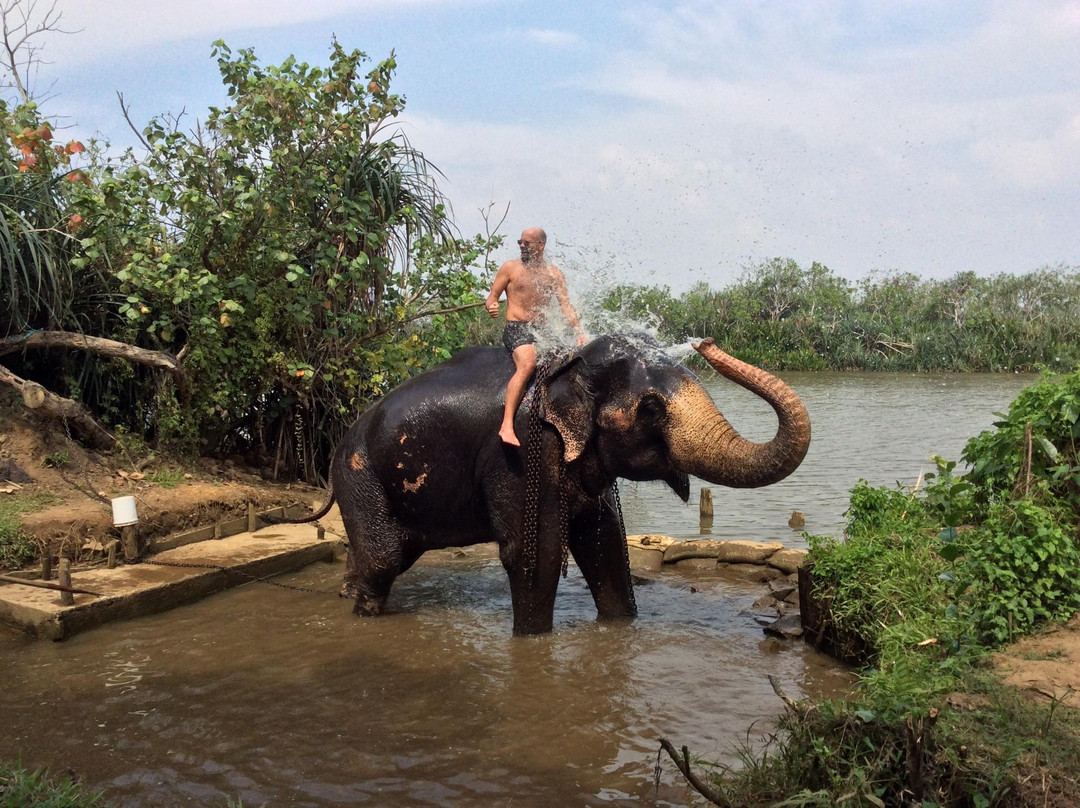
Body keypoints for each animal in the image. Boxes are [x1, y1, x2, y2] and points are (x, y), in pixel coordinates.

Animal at [278, 334, 810, 635]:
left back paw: (346, 595)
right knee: (385, 559)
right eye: (651, 408)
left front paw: (620, 630)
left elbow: (605, 543)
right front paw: (532, 643)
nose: (705, 343)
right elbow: (538, 551)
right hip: (361, 477)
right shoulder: (518, 453)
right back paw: (363, 615)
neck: (569, 363)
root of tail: (338, 447)